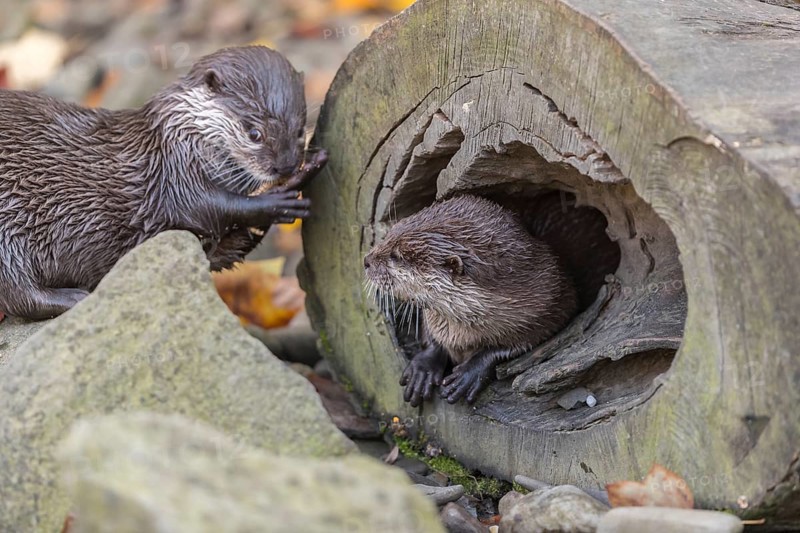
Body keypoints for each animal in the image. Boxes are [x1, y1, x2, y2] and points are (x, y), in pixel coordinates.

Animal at [0, 46, 327, 320]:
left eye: (300, 130)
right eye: (254, 133)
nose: (285, 165)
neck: (178, 138)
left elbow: (222, 253)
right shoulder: (175, 177)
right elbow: (212, 208)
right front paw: (281, 197)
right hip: (8, 228)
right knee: (20, 295)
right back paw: (79, 297)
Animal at [365, 194, 597, 406]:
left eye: (397, 257)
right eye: (391, 232)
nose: (366, 260)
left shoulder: (552, 304)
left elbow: (518, 343)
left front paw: (470, 373)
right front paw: (423, 367)